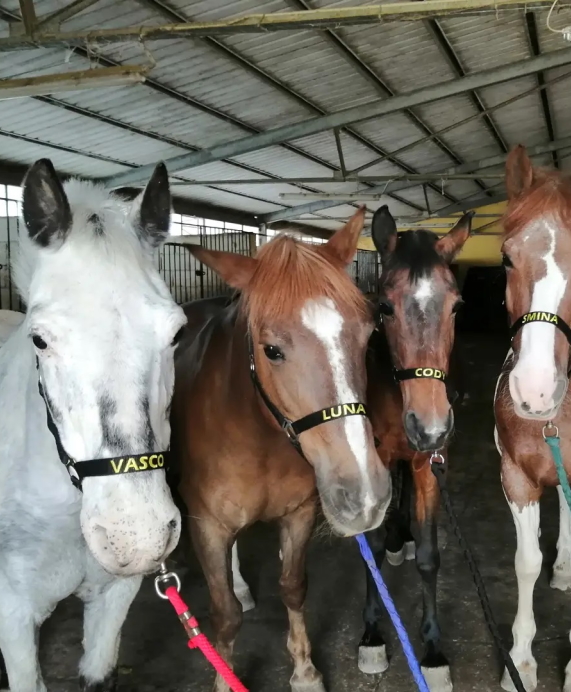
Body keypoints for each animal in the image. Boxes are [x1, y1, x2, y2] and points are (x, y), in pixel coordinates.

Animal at [170, 207, 392, 692]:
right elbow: (225, 616)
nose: (365, 497)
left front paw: (305, 671)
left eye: (368, 336)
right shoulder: (208, 526)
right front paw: (225, 679)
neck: (261, 438)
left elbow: (293, 586)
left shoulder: (300, 514)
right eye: (271, 350)